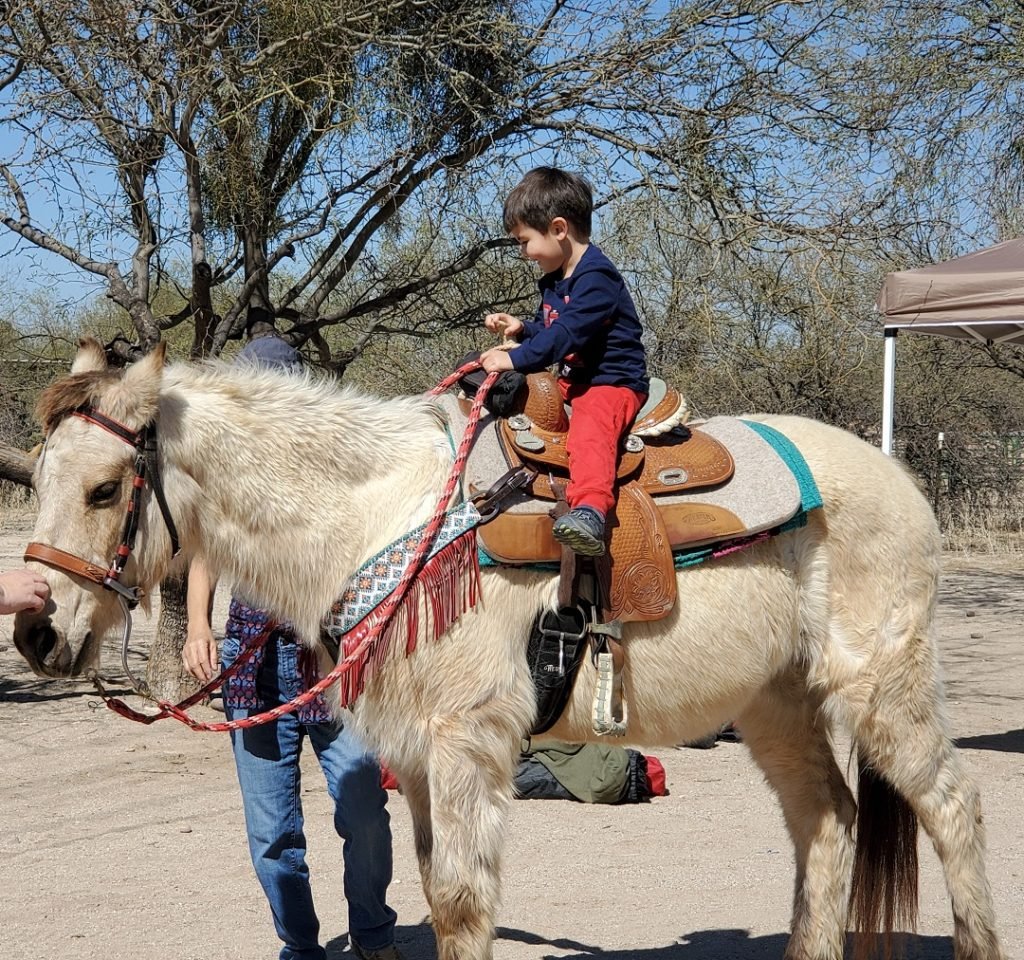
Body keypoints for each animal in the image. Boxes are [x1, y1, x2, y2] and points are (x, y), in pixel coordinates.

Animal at [13, 338, 1003, 960]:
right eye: (43, 477)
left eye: (104, 489)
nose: (35, 631)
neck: (385, 516)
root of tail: (898, 478)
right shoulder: (415, 759)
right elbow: (433, 890)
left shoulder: (466, 744)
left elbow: (460, 905)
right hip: (777, 703)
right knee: (827, 822)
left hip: (882, 687)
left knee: (954, 810)